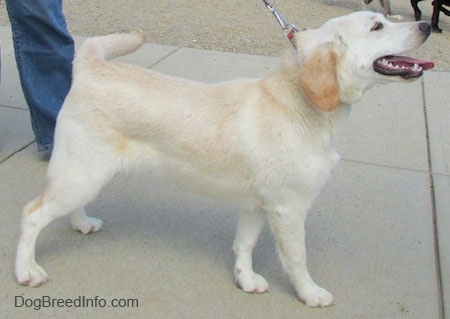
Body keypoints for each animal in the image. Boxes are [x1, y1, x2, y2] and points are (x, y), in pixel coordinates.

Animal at [16, 11, 432, 308]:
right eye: (377, 25)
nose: (427, 24)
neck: (300, 102)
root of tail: (91, 66)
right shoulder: (289, 209)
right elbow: (297, 259)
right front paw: (310, 294)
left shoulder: (257, 206)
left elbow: (243, 245)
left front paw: (245, 280)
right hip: (81, 174)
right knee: (32, 214)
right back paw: (27, 271)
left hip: (86, 175)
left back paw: (82, 224)